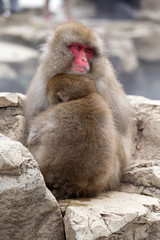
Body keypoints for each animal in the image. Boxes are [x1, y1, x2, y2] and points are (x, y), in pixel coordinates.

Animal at [25, 22, 132, 199]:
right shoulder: (41, 80)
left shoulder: (105, 83)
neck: (84, 96)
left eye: (88, 51)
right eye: (77, 47)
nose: (83, 60)